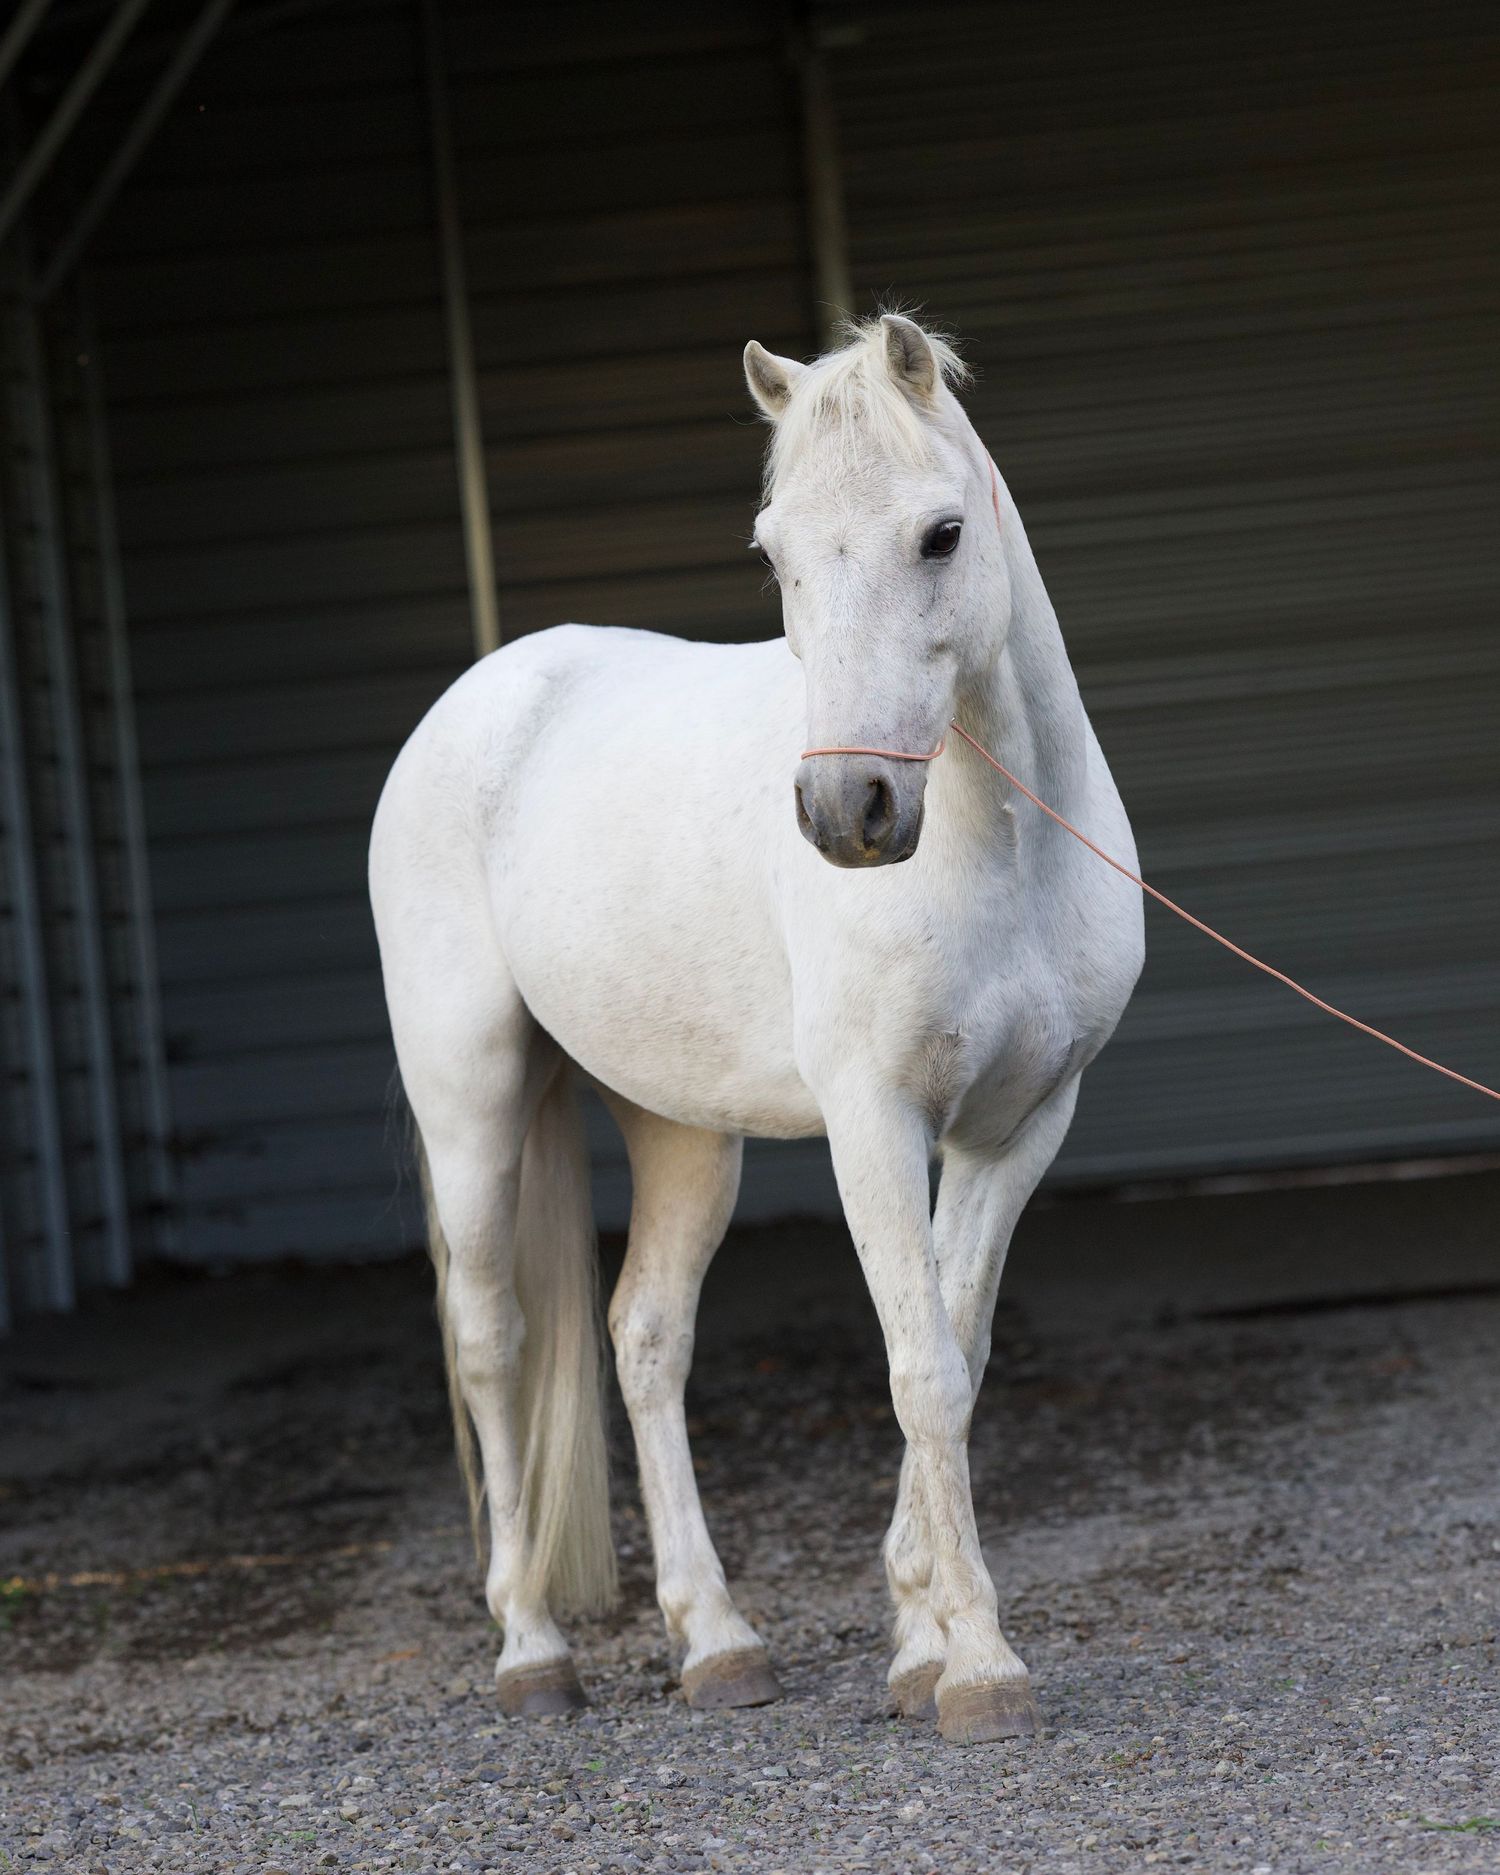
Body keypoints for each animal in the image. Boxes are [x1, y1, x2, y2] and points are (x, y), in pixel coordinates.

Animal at [368, 313, 1144, 1744]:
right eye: (776, 552)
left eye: (942, 535)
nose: (849, 814)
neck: (1003, 849)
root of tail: (489, 690)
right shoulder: (874, 1122)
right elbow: (919, 1368)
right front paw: (980, 1666)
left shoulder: (1019, 1127)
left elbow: (958, 1350)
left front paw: (918, 1641)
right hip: (473, 1099)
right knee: (494, 1344)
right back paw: (532, 1649)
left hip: (681, 1132)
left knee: (643, 1339)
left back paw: (716, 1641)